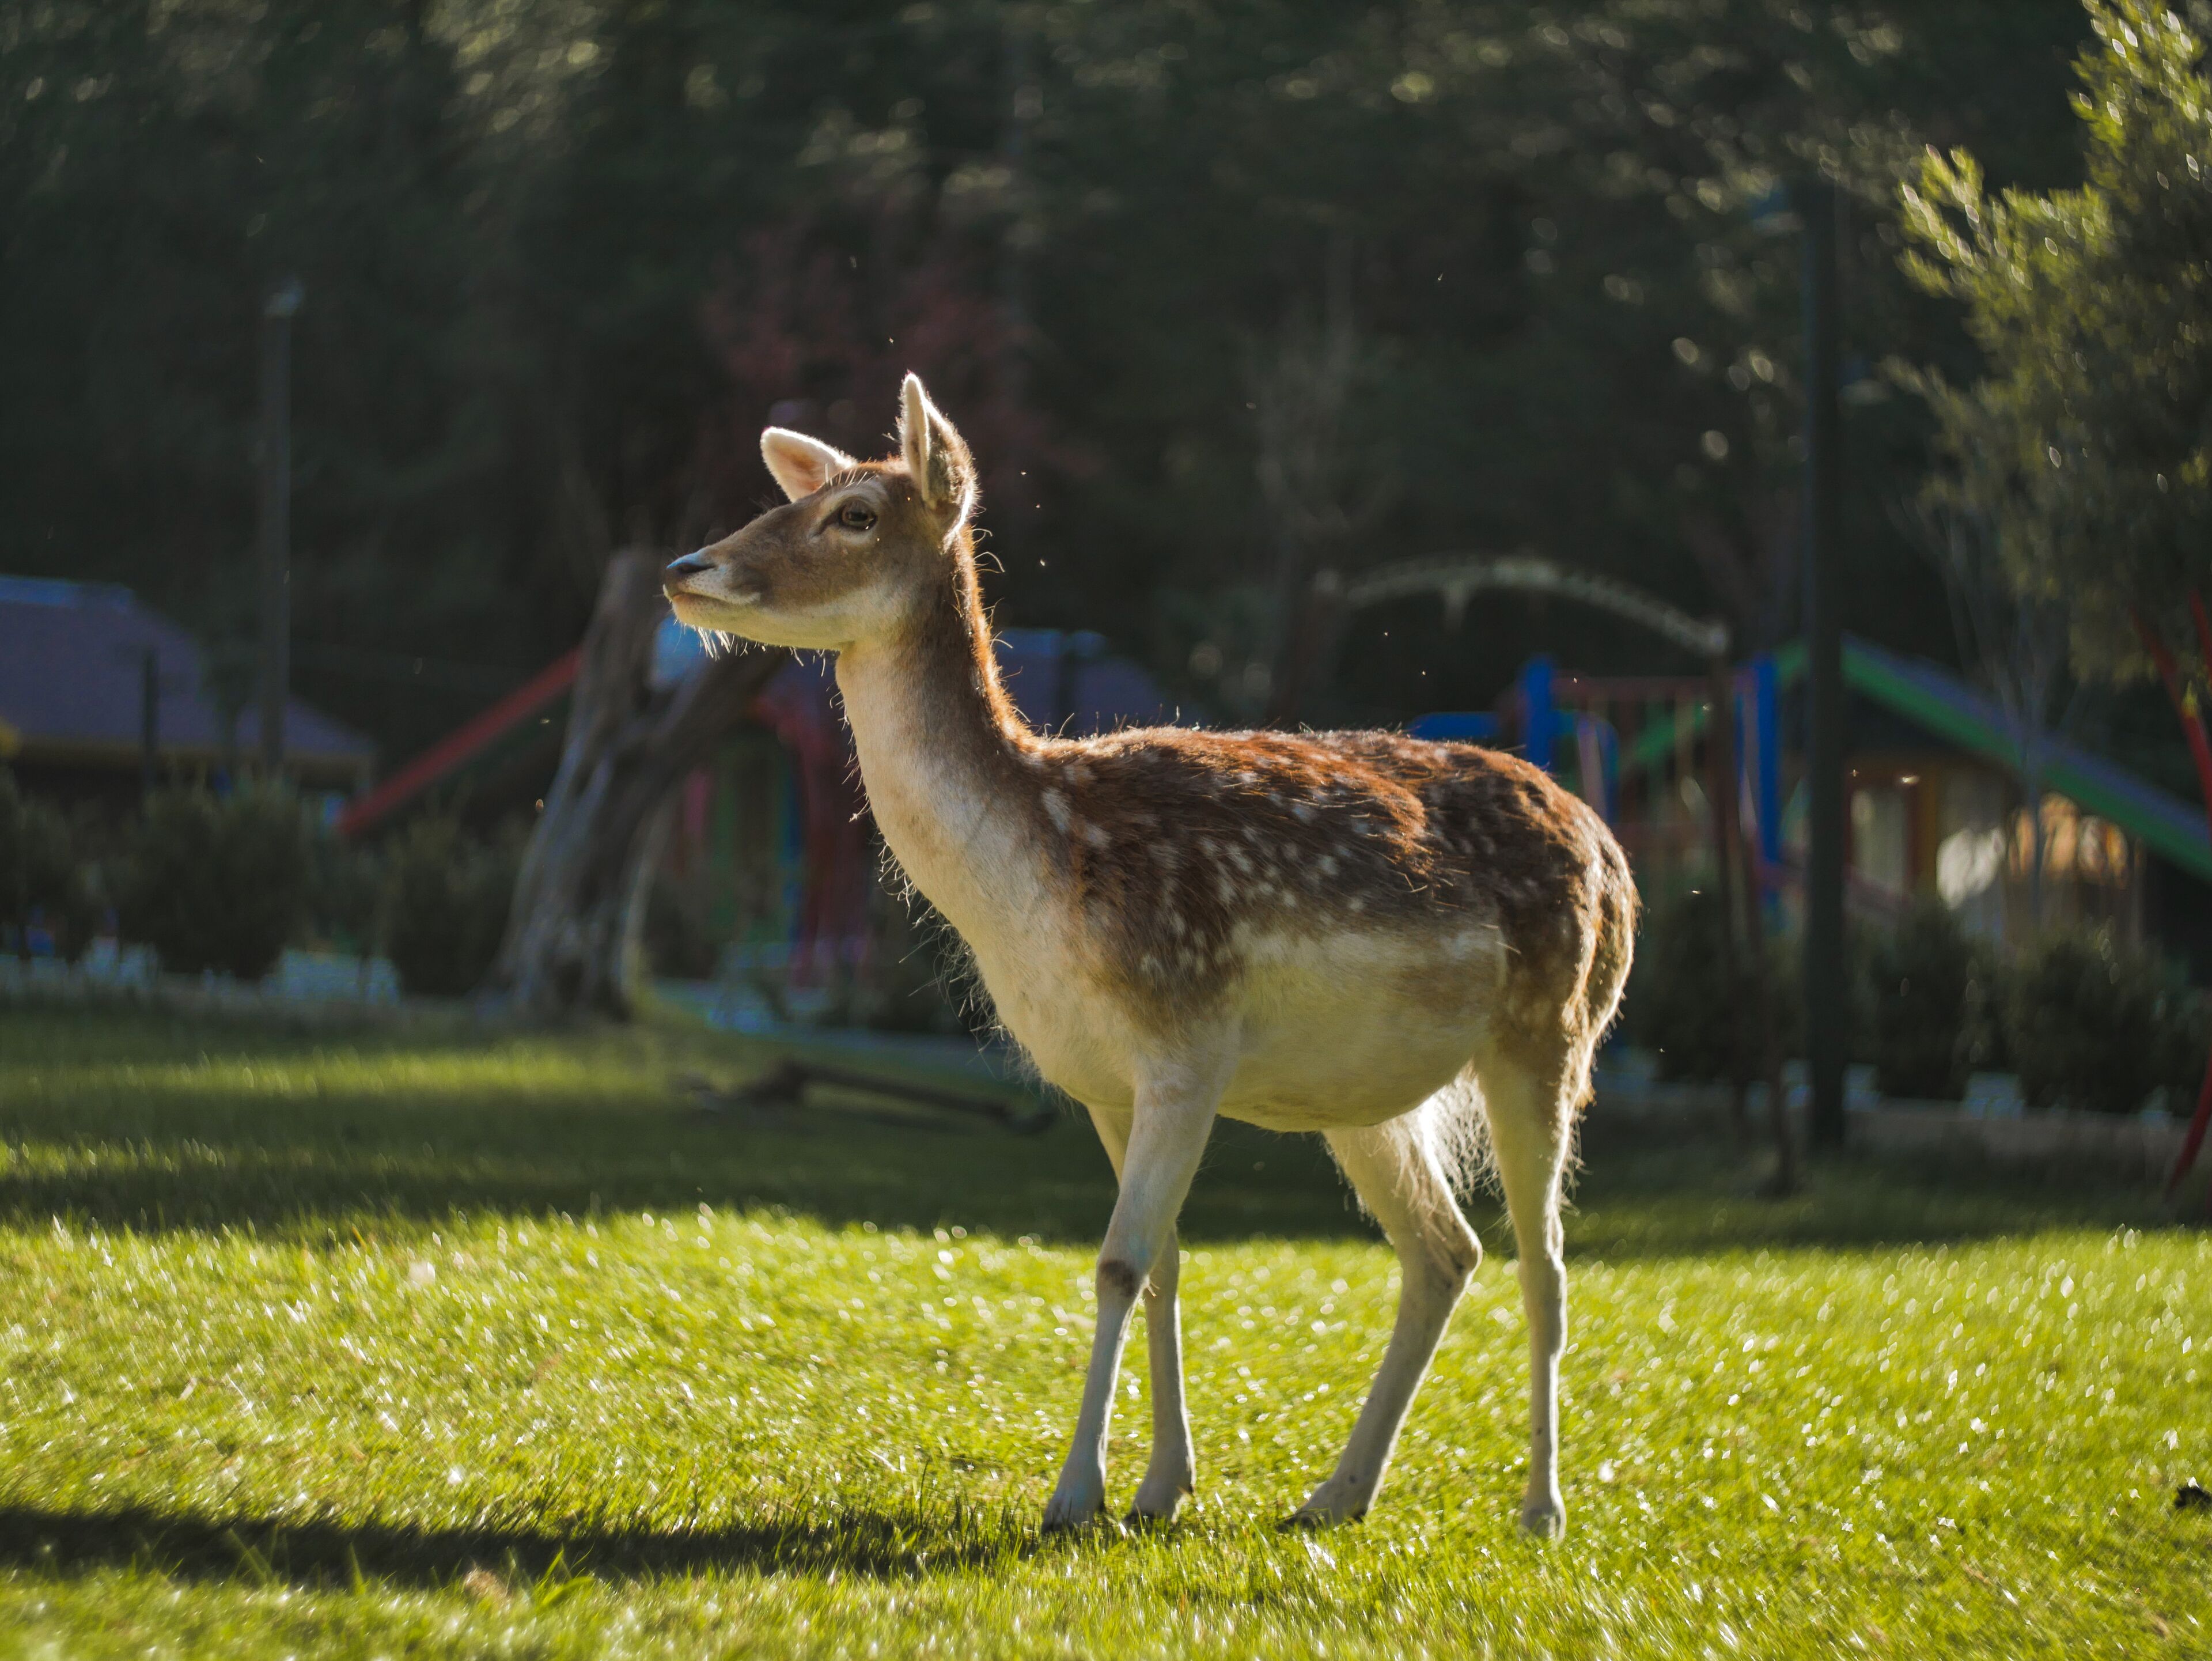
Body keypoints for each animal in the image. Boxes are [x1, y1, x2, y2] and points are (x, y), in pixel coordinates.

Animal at [662, 376, 1636, 1538]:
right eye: (801, 497)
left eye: (855, 514)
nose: (687, 568)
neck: (1038, 881)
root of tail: (1615, 852)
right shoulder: (1100, 1081)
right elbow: (1163, 1264)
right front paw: (1162, 1484)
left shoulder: (1186, 1044)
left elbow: (1119, 1261)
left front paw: (1073, 1492)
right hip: (1368, 1095)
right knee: (1446, 1249)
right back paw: (1336, 1493)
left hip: (1552, 1032)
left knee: (1548, 1266)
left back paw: (1541, 1508)